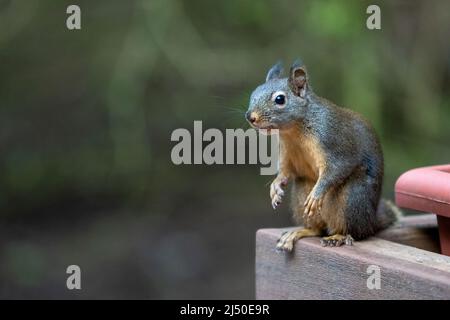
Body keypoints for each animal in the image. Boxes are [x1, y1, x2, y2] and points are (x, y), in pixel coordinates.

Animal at [246, 59, 400, 250]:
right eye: (253, 93)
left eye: (280, 99)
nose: (250, 117)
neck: (294, 131)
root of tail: (371, 221)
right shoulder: (287, 153)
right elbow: (285, 172)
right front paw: (275, 187)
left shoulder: (332, 140)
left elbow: (335, 169)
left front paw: (317, 194)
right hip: (301, 196)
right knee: (318, 229)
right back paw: (299, 232)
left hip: (352, 199)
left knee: (354, 232)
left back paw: (339, 236)